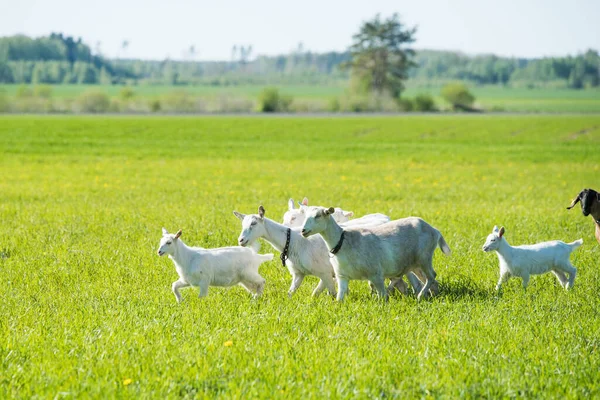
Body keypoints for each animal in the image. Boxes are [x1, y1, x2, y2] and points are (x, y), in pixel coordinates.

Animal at [300, 206, 450, 300]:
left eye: (318, 216)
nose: (303, 230)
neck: (343, 241)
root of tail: (434, 230)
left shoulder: (375, 273)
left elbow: (382, 297)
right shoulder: (342, 276)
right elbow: (340, 298)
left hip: (424, 257)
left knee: (431, 276)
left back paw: (420, 296)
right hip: (415, 263)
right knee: (429, 279)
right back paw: (432, 295)